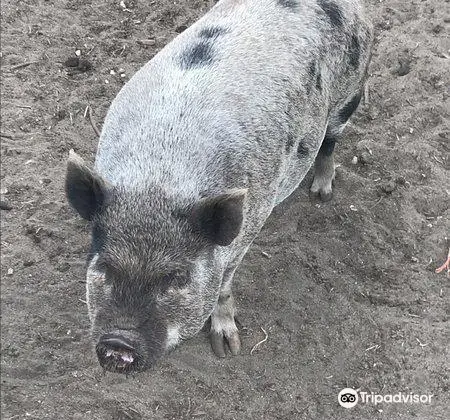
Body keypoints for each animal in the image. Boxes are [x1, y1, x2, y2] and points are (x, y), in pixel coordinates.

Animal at [65, 0, 370, 372]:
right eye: (105, 267)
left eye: (176, 278)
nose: (118, 344)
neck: (159, 180)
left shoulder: (249, 226)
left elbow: (223, 285)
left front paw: (227, 348)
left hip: (351, 91)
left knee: (330, 141)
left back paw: (321, 194)